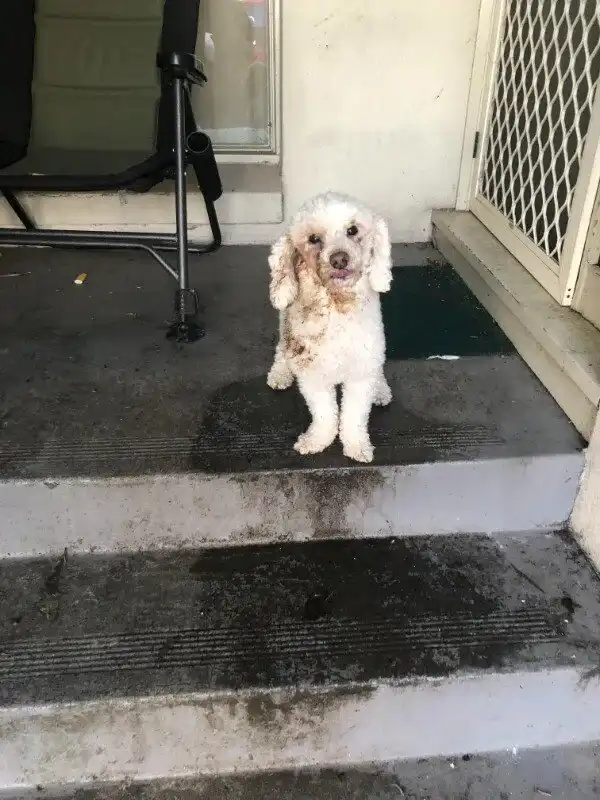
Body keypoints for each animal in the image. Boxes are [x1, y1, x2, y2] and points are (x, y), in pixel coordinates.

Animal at [267, 191, 393, 463]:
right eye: (314, 239)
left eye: (352, 230)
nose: (339, 259)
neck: (336, 306)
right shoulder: (312, 374)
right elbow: (324, 414)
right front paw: (317, 441)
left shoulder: (361, 372)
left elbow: (354, 416)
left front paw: (356, 446)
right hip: (284, 324)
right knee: (281, 350)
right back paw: (280, 373)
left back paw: (380, 389)